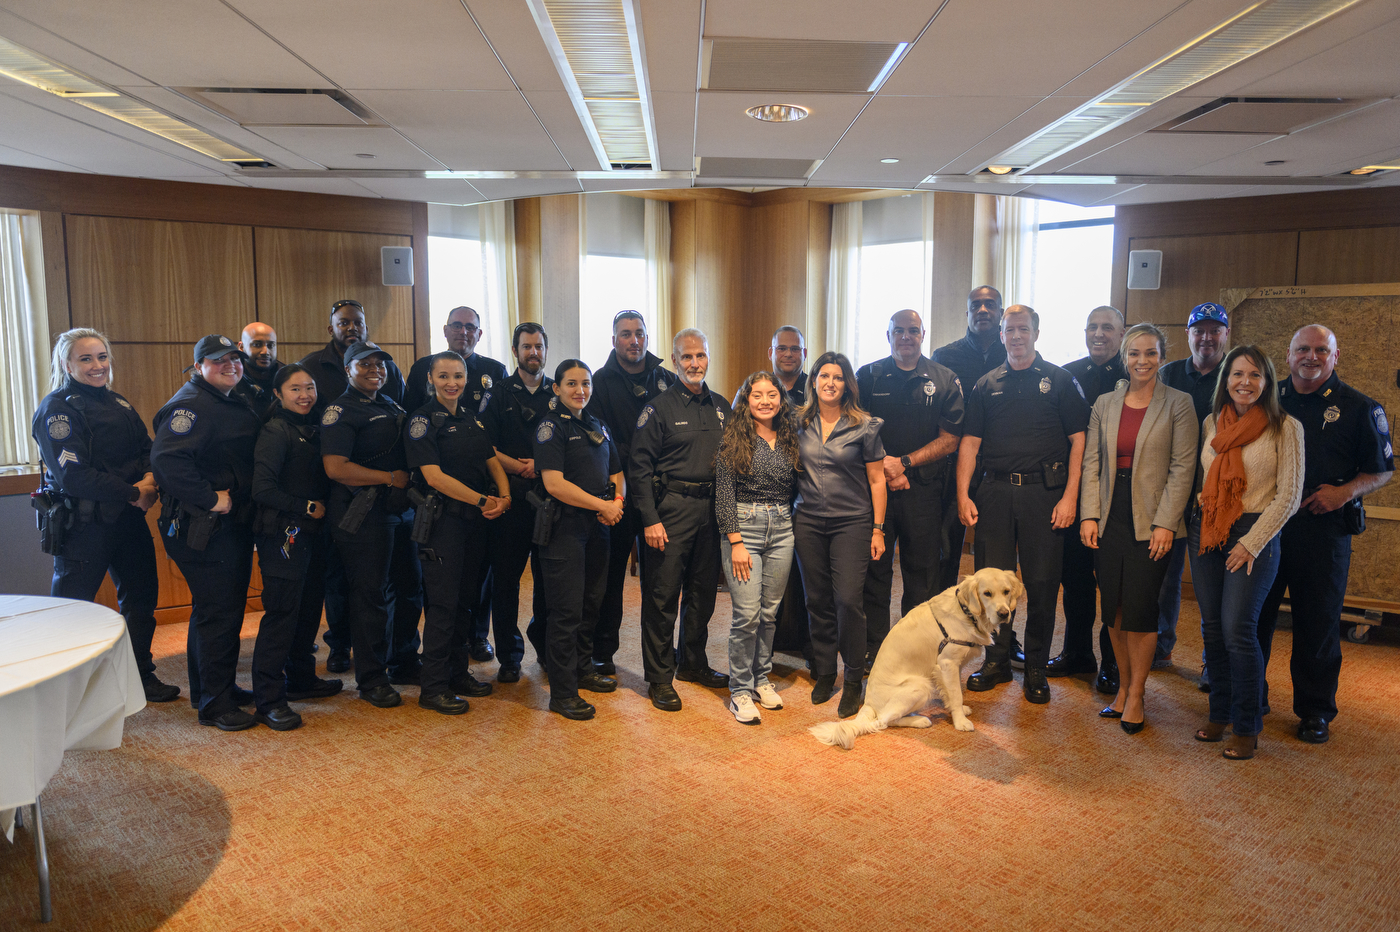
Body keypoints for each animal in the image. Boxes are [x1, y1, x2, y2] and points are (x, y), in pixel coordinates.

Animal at [806, 565, 1024, 750]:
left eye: (1006, 591)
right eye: (987, 593)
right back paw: (920, 720)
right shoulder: (948, 663)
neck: (966, 612)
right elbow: (955, 693)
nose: (1004, 613)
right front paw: (960, 721)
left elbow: (953, 692)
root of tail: (868, 703)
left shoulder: (953, 666)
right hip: (919, 686)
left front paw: (959, 710)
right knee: (883, 721)